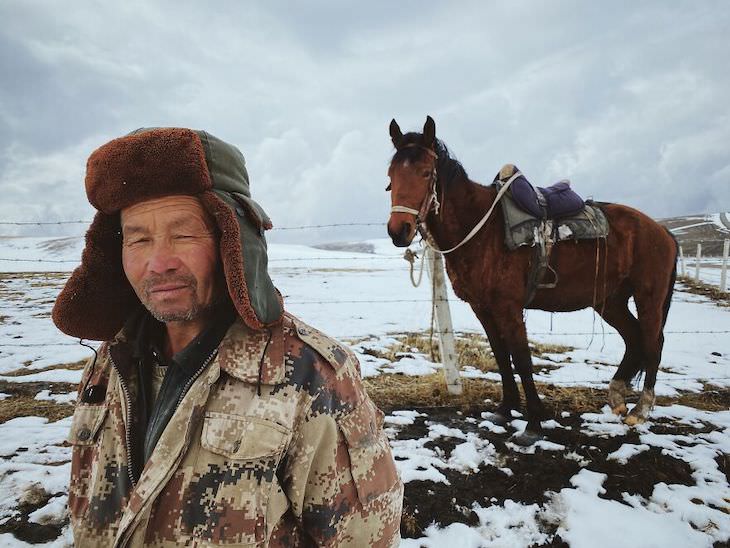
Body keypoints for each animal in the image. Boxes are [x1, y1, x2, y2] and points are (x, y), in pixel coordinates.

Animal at [386, 116, 676, 446]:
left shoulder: (509, 308)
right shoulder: (482, 308)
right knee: (633, 338)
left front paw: (533, 423)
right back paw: (616, 397)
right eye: (391, 175)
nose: (399, 230)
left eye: (425, 173)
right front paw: (505, 409)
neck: (483, 230)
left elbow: (522, 359)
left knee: (653, 342)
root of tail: (662, 232)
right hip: (610, 301)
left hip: (648, 297)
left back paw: (640, 410)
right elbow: (501, 355)